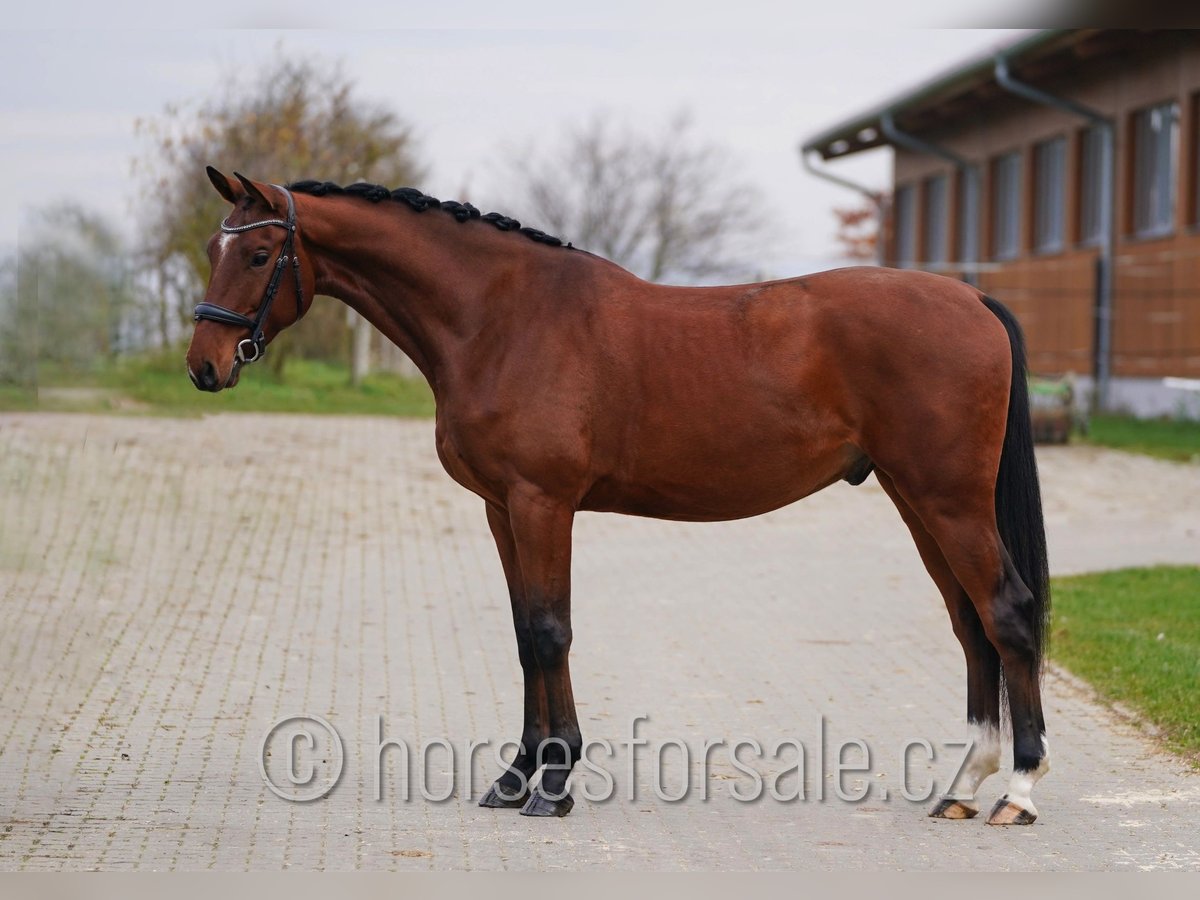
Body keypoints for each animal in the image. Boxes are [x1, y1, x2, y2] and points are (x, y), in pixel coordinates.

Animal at [187, 168, 1051, 824]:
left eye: (259, 252)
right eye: (211, 247)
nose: (204, 365)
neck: (501, 317)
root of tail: (970, 300)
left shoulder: (542, 502)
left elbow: (549, 632)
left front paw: (555, 784)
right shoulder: (500, 508)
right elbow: (521, 634)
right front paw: (515, 777)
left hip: (948, 500)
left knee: (1005, 614)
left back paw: (1019, 790)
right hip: (916, 499)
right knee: (970, 624)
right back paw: (963, 785)